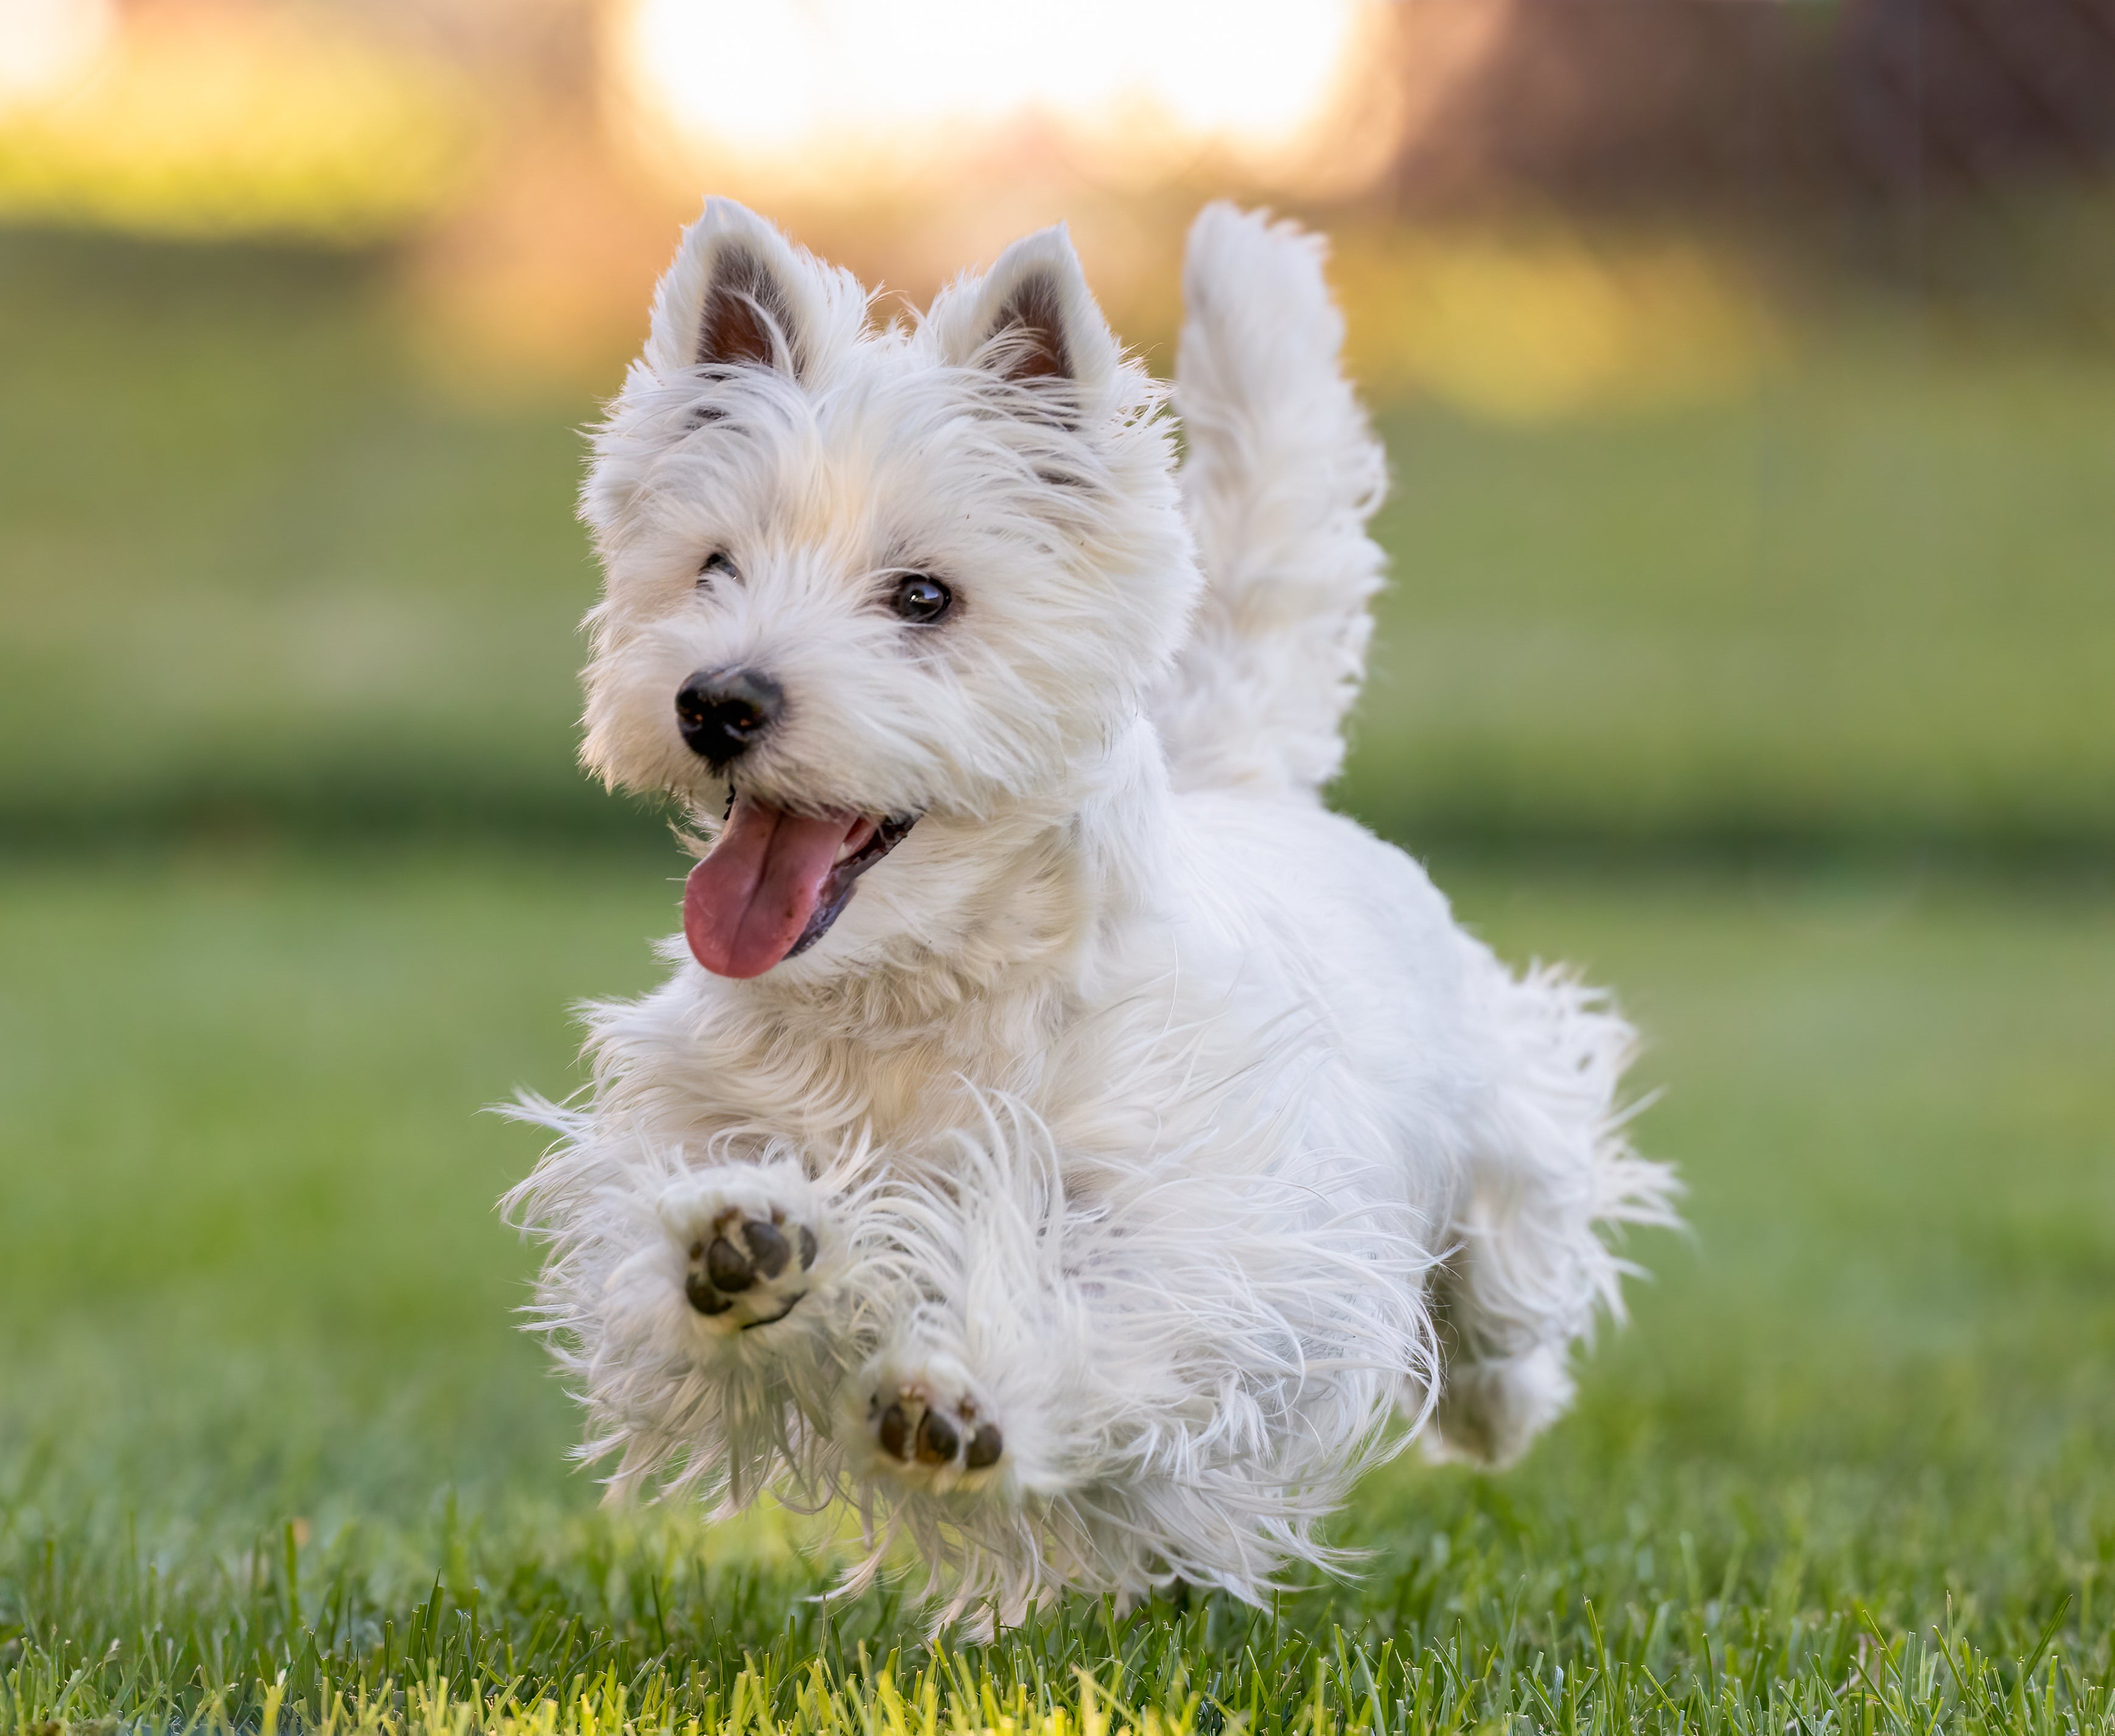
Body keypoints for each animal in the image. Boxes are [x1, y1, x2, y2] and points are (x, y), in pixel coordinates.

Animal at [503, 203, 1675, 1623]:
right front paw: (750, 1248)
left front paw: (959, 1399)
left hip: (1496, 1141)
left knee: (1506, 1290)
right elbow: (672, 1268)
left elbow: (1106, 1311)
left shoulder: (1202, 1218)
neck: (921, 990)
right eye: (712, 566)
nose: (717, 701)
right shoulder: (679, 1143)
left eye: (925, 596)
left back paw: (1494, 1409)